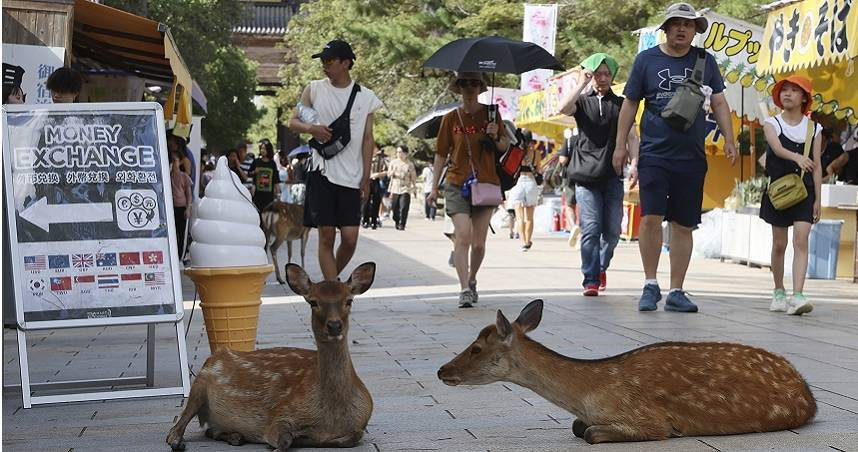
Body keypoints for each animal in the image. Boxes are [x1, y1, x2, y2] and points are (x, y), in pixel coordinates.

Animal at [166, 262, 375, 451]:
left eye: (349, 300)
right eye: (313, 302)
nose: (334, 325)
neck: (332, 418)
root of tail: (216, 355)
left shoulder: (361, 422)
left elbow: (353, 437)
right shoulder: (279, 414)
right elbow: (284, 440)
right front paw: (285, 441)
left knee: (209, 430)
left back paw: (235, 436)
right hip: (199, 384)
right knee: (174, 429)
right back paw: (179, 442)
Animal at [437, 299, 817, 444]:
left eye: (476, 348)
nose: (442, 371)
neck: (590, 394)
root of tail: (810, 395)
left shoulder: (648, 419)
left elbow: (590, 433)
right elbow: (578, 426)